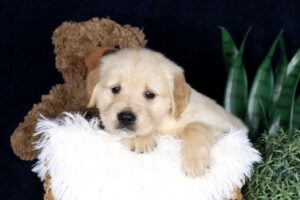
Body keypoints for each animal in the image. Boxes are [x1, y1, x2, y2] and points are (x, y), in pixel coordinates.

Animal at [85, 47, 245, 177]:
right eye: (115, 89)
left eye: (150, 94)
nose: (126, 117)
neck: (163, 121)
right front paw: (140, 139)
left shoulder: (222, 124)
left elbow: (193, 126)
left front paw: (194, 162)